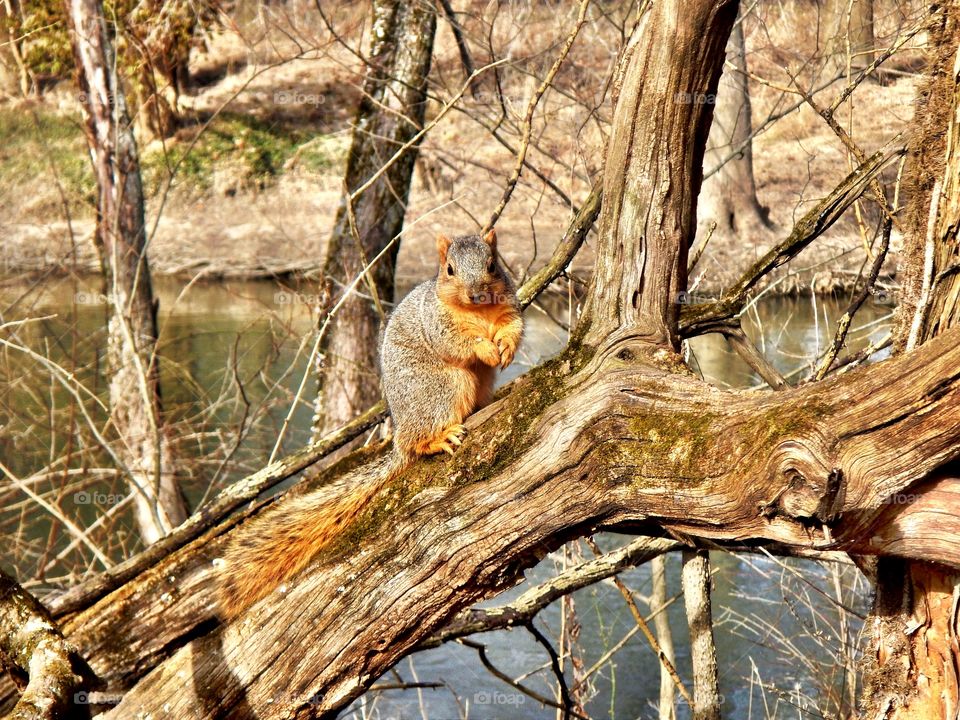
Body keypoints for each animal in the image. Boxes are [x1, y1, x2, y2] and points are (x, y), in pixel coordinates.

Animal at [219, 229, 523, 617]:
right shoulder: (438, 324)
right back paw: (437, 438)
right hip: (442, 390)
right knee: (420, 437)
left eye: (492, 265)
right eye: (450, 270)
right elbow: (459, 343)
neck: (478, 311)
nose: (476, 293)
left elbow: (513, 327)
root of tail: (399, 436)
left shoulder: (509, 307)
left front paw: (506, 348)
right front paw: (485, 349)